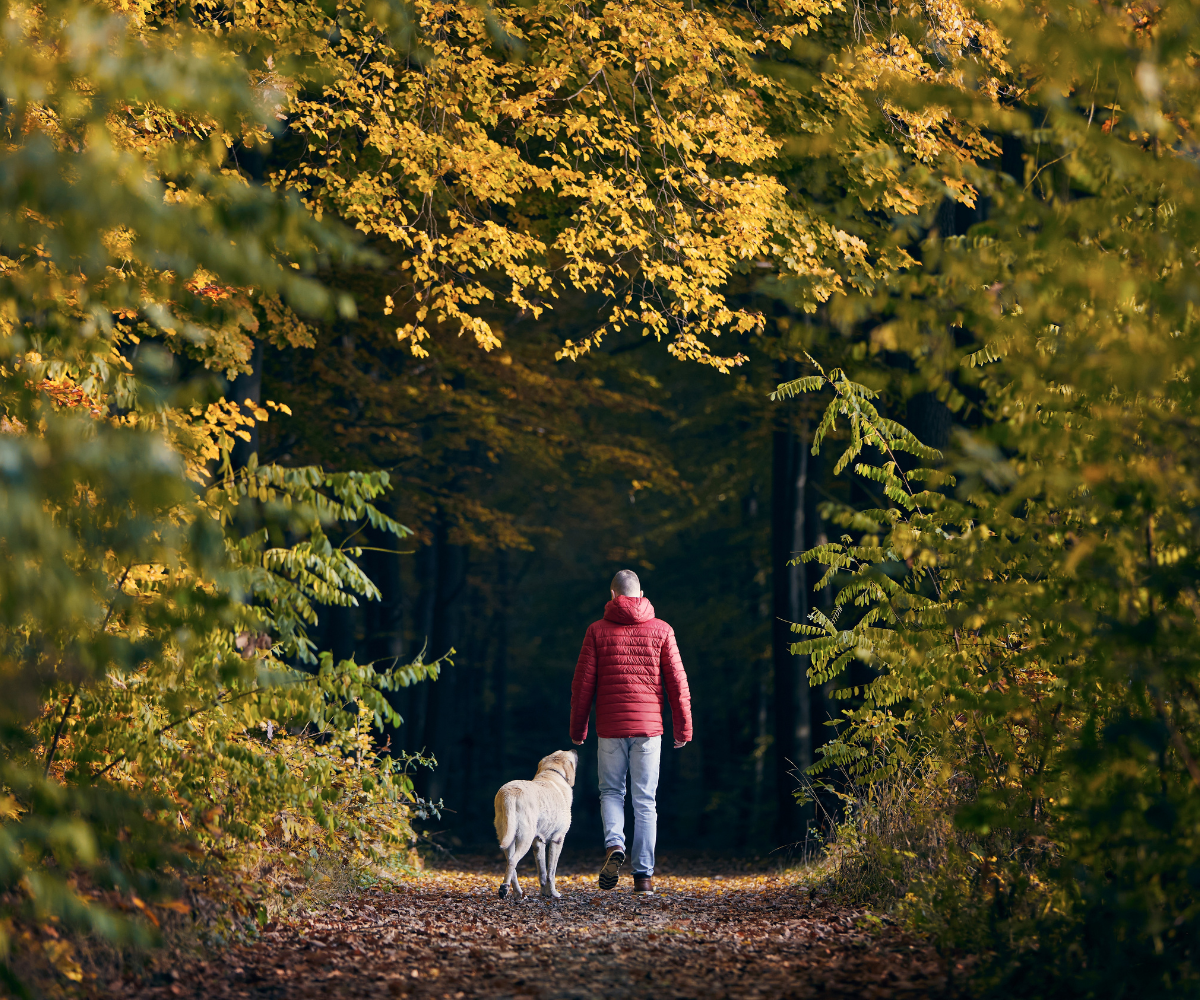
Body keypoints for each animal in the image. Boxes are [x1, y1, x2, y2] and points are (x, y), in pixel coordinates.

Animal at [492, 749, 576, 897]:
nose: (574, 749)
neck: (552, 772)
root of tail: (509, 794)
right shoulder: (558, 839)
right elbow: (551, 872)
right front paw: (554, 894)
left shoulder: (538, 842)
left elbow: (542, 872)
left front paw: (545, 893)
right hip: (525, 838)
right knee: (513, 861)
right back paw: (503, 889)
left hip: (508, 837)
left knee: (511, 865)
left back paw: (517, 892)